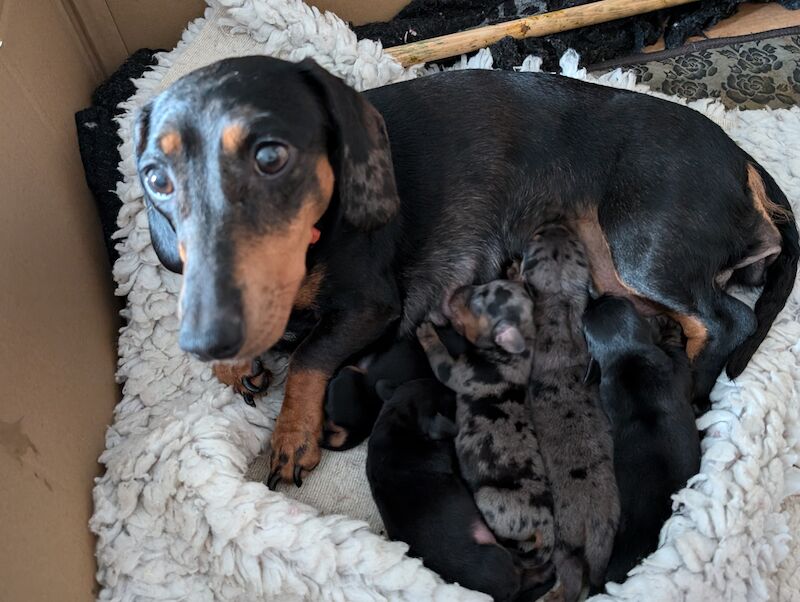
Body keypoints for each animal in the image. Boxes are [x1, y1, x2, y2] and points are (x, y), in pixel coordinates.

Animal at [134, 56, 796, 486]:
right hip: (616, 275)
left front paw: (292, 436)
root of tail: (741, 159)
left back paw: (693, 391)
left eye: (271, 156)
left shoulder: (370, 307)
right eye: (155, 179)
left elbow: (307, 358)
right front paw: (236, 367)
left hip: (643, 248)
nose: (205, 337)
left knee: (725, 321)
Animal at [416, 276, 552, 568]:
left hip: (489, 499)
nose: (455, 289)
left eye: (477, 303)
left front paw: (427, 332)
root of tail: (546, 531)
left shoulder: (454, 371)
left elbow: (438, 355)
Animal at [516, 221, 620, 600]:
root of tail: (595, 527)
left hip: (564, 543)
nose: (555, 223)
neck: (560, 301)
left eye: (534, 239)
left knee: (571, 577)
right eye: (576, 244)